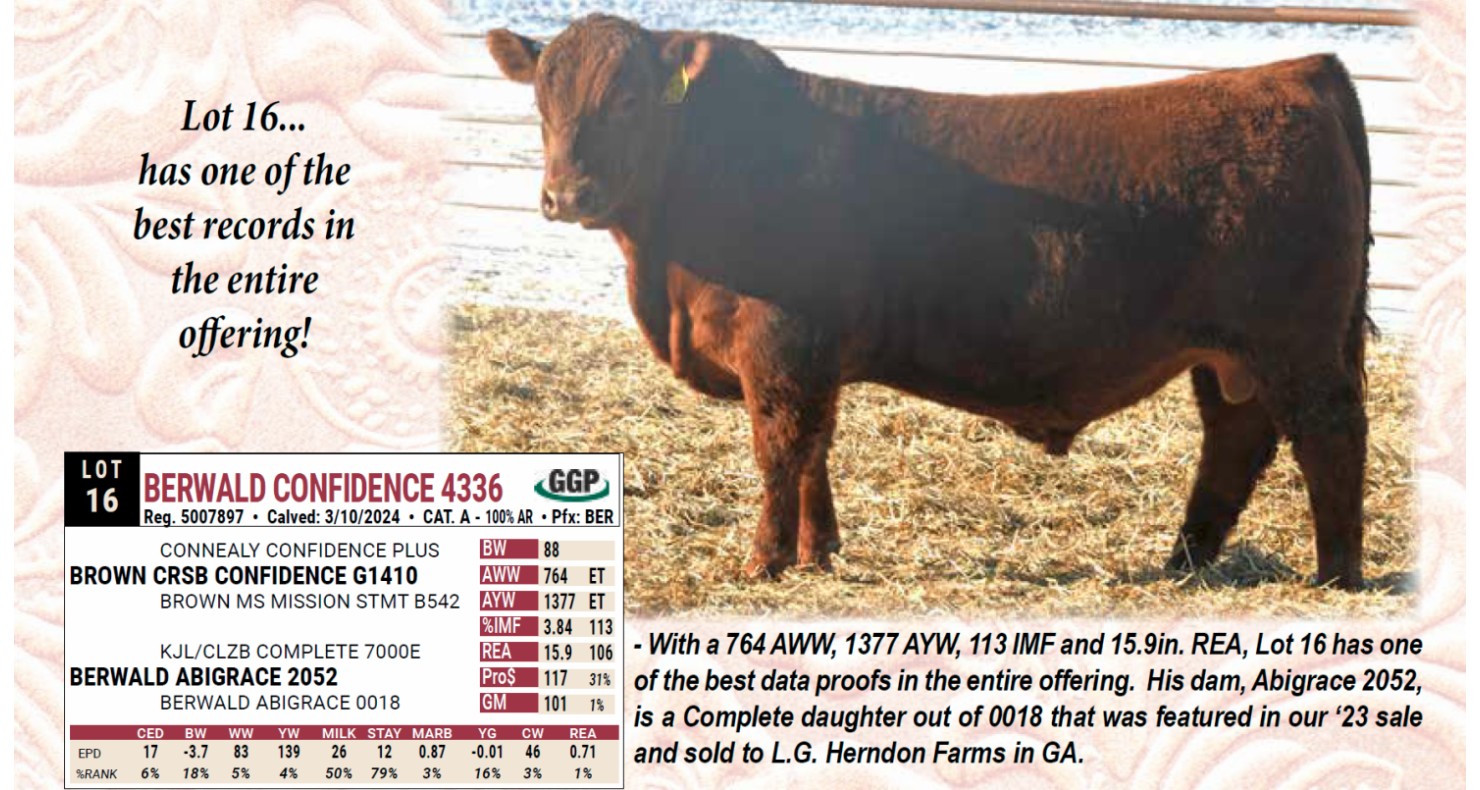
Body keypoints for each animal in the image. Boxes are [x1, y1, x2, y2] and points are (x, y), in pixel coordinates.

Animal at [486, 14, 1373, 588]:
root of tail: (1298, 72)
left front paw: (764, 561)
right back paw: (1184, 562)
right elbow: (817, 451)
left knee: (1329, 437)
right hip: (1228, 354)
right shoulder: (814, 358)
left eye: (630, 100)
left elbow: (780, 452)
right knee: (1235, 443)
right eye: (541, 103)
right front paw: (818, 552)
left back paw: (1336, 574)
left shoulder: (780, 349)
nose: (566, 195)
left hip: (1295, 343)